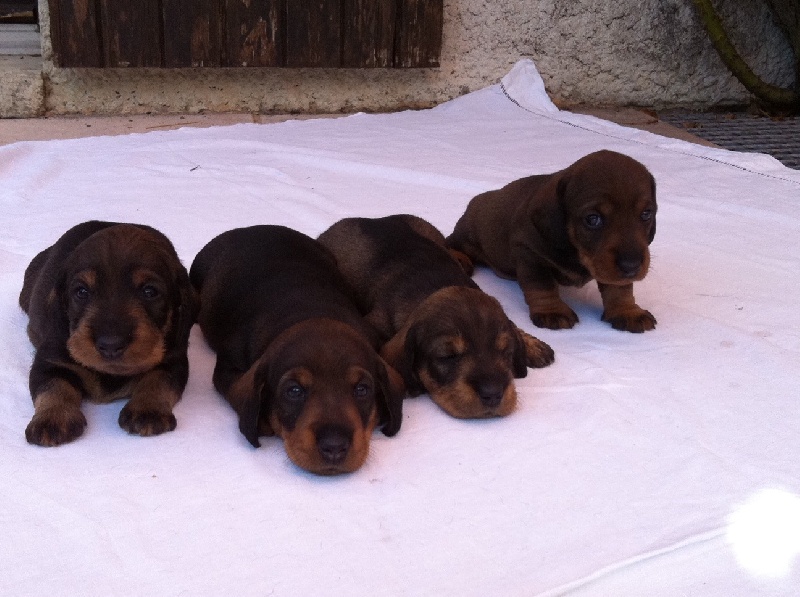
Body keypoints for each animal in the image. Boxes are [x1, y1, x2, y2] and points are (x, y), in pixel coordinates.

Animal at [19, 221, 198, 444]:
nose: (110, 345)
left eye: (149, 291)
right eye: (81, 291)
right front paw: (53, 418)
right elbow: (53, 386)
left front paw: (147, 410)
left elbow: (158, 380)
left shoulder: (174, 360)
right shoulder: (49, 360)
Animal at [187, 224, 400, 474]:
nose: (334, 447)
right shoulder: (227, 366)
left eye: (362, 389)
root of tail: (253, 227)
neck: (310, 311)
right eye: (294, 391)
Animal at [446, 149, 660, 332]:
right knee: (453, 243)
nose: (631, 265)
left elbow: (620, 288)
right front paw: (552, 310)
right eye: (593, 219)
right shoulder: (529, 254)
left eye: (646, 214)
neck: (576, 251)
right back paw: (459, 258)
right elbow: (542, 285)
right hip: (467, 234)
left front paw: (628, 311)